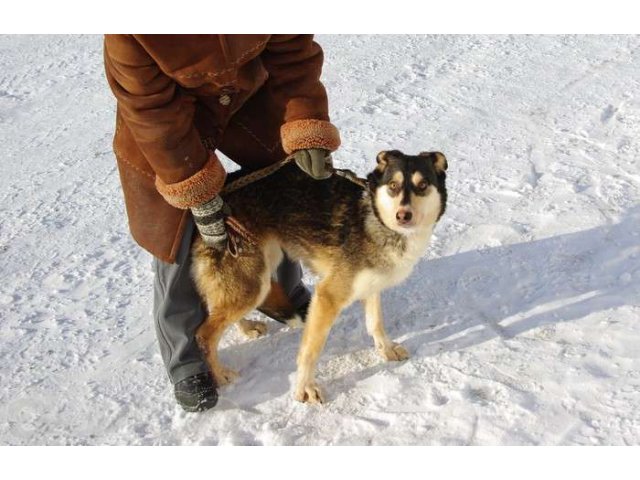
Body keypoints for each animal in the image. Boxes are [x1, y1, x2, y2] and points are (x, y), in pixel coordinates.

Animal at [192, 149, 448, 402]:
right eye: (393, 185)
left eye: (423, 185)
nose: (403, 215)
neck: (374, 218)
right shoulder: (328, 296)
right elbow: (310, 350)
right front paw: (305, 387)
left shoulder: (371, 284)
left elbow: (375, 323)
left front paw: (386, 349)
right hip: (253, 283)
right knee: (204, 335)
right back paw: (220, 375)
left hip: (257, 274)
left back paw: (246, 328)